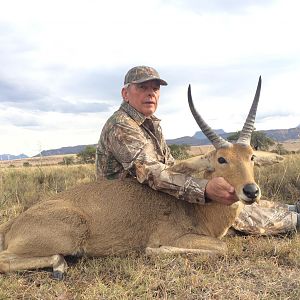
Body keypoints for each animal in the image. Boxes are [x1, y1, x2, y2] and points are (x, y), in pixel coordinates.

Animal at [0, 77, 262, 278]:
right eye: (222, 159)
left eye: (251, 155)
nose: (251, 191)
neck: (197, 209)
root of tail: (13, 223)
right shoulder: (181, 237)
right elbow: (222, 247)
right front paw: (153, 250)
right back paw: (59, 266)